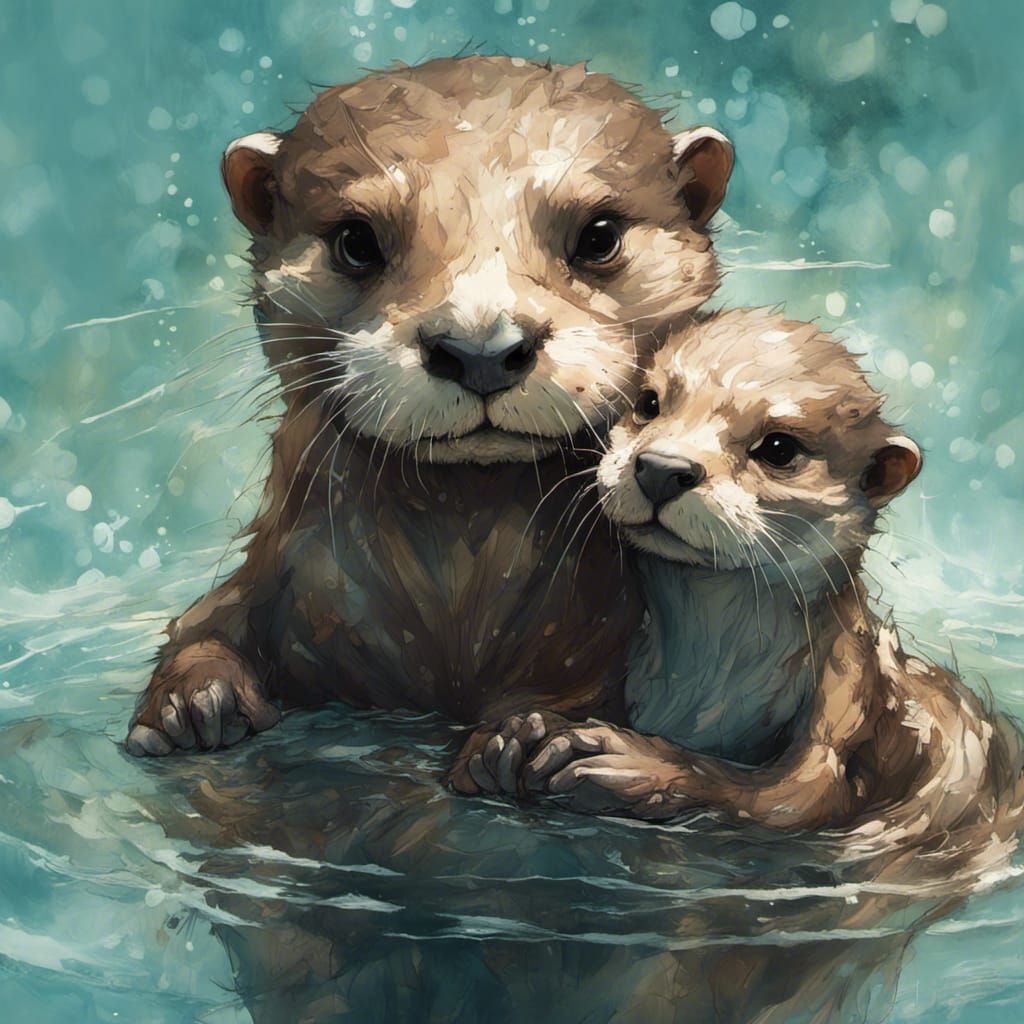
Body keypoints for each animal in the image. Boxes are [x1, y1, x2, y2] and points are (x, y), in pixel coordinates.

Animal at [125, 56, 736, 756]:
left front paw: (528, 739)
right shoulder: (269, 578)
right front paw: (194, 701)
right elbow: (201, 626)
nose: (481, 348)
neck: (454, 628)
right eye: (356, 241)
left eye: (599, 235)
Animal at [456, 309, 1024, 843]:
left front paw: (634, 762)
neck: (711, 667)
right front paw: (511, 737)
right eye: (649, 403)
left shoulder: (848, 687)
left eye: (778, 448)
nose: (661, 468)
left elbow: (797, 794)